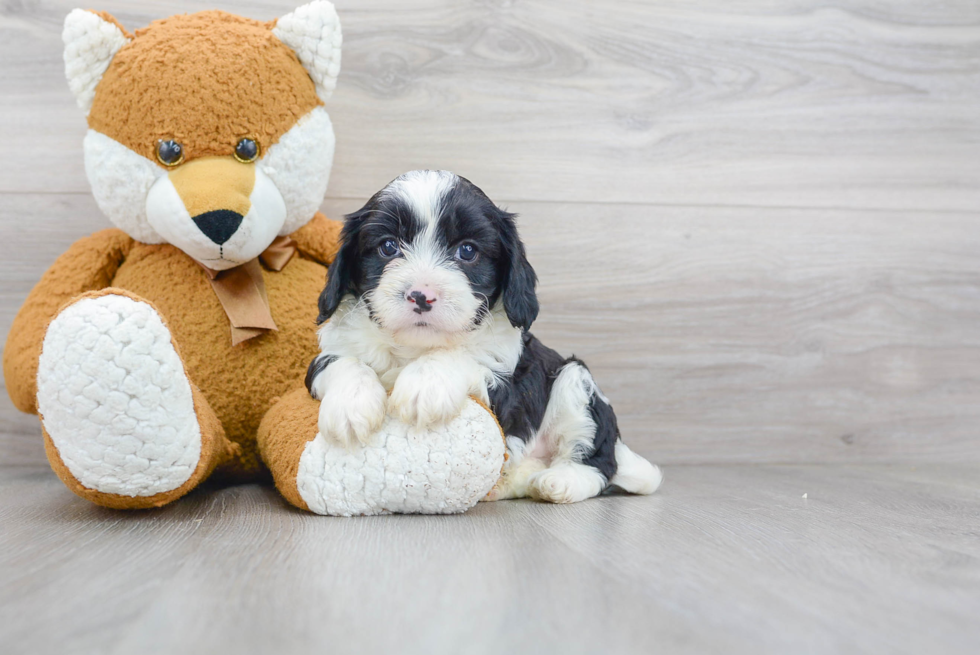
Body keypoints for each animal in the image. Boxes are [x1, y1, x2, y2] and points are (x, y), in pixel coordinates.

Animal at [304, 172, 660, 504]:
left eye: (467, 251)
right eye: (388, 246)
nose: (421, 295)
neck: (414, 348)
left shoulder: (506, 387)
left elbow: (458, 357)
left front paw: (423, 384)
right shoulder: (326, 356)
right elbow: (343, 363)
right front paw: (350, 407)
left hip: (576, 384)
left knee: (599, 461)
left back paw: (560, 481)